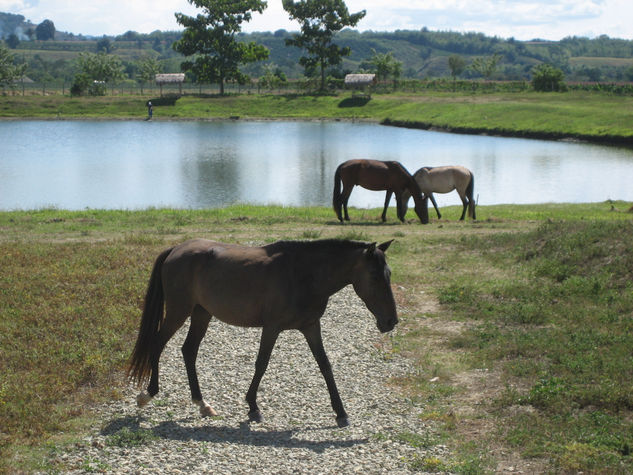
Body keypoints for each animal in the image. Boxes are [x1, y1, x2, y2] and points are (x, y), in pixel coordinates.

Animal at [126, 238, 398, 428]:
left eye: (389, 274)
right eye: (374, 275)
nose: (391, 321)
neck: (303, 274)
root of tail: (176, 249)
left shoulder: (311, 327)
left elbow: (325, 366)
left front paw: (341, 413)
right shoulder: (272, 327)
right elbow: (262, 363)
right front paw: (253, 406)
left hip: (201, 313)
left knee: (189, 351)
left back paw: (203, 404)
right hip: (178, 311)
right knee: (157, 344)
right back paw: (148, 394)